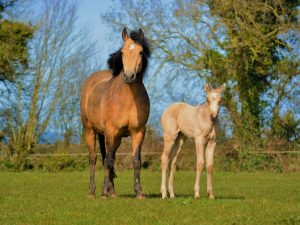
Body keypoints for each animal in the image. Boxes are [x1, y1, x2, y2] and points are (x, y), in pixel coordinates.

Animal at [79, 28, 150, 199]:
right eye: (122, 52)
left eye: (140, 51)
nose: (129, 76)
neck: (128, 99)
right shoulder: (110, 131)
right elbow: (108, 161)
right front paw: (105, 194)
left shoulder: (138, 132)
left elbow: (135, 161)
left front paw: (139, 193)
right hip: (90, 130)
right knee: (94, 158)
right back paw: (93, 192)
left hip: (115, 138)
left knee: (109, 158)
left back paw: (110, 190)